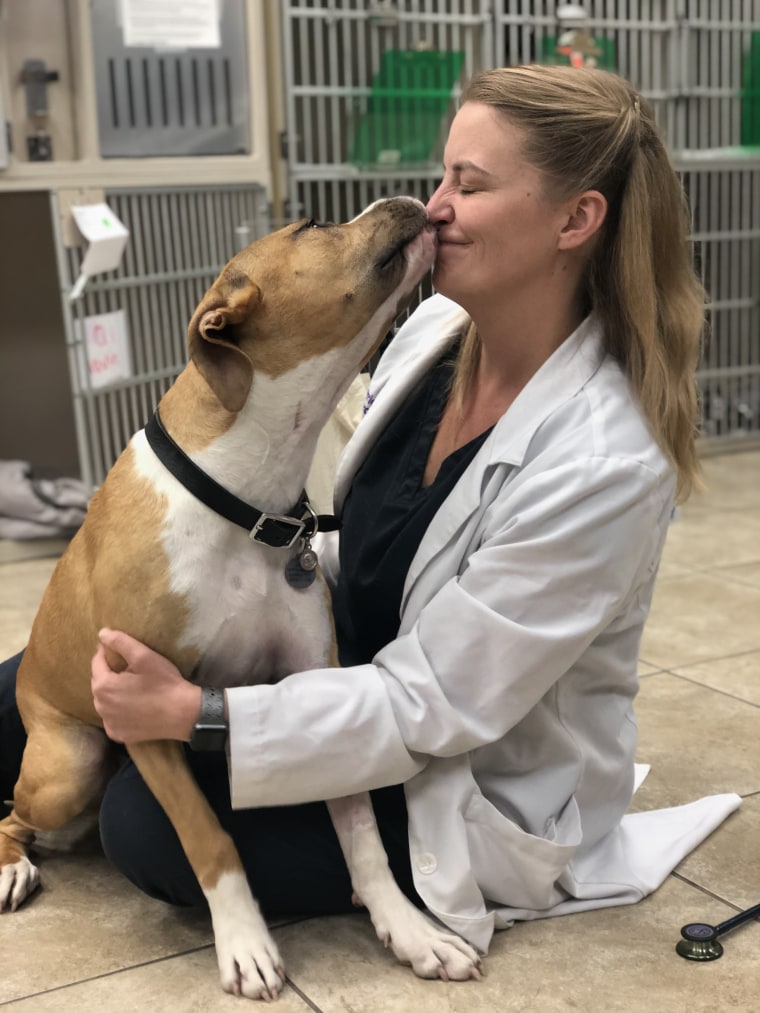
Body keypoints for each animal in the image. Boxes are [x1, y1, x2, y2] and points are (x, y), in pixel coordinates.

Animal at [0, 197, 482, 996]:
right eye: (315, 226)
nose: (408, 199)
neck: (241, 499)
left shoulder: (318, 681)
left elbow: (360, 831)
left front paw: (410, 929)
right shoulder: (141, 715)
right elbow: (210, 837)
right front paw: (246, 945)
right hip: (69, 763)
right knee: (9, 813)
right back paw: (12, 866)